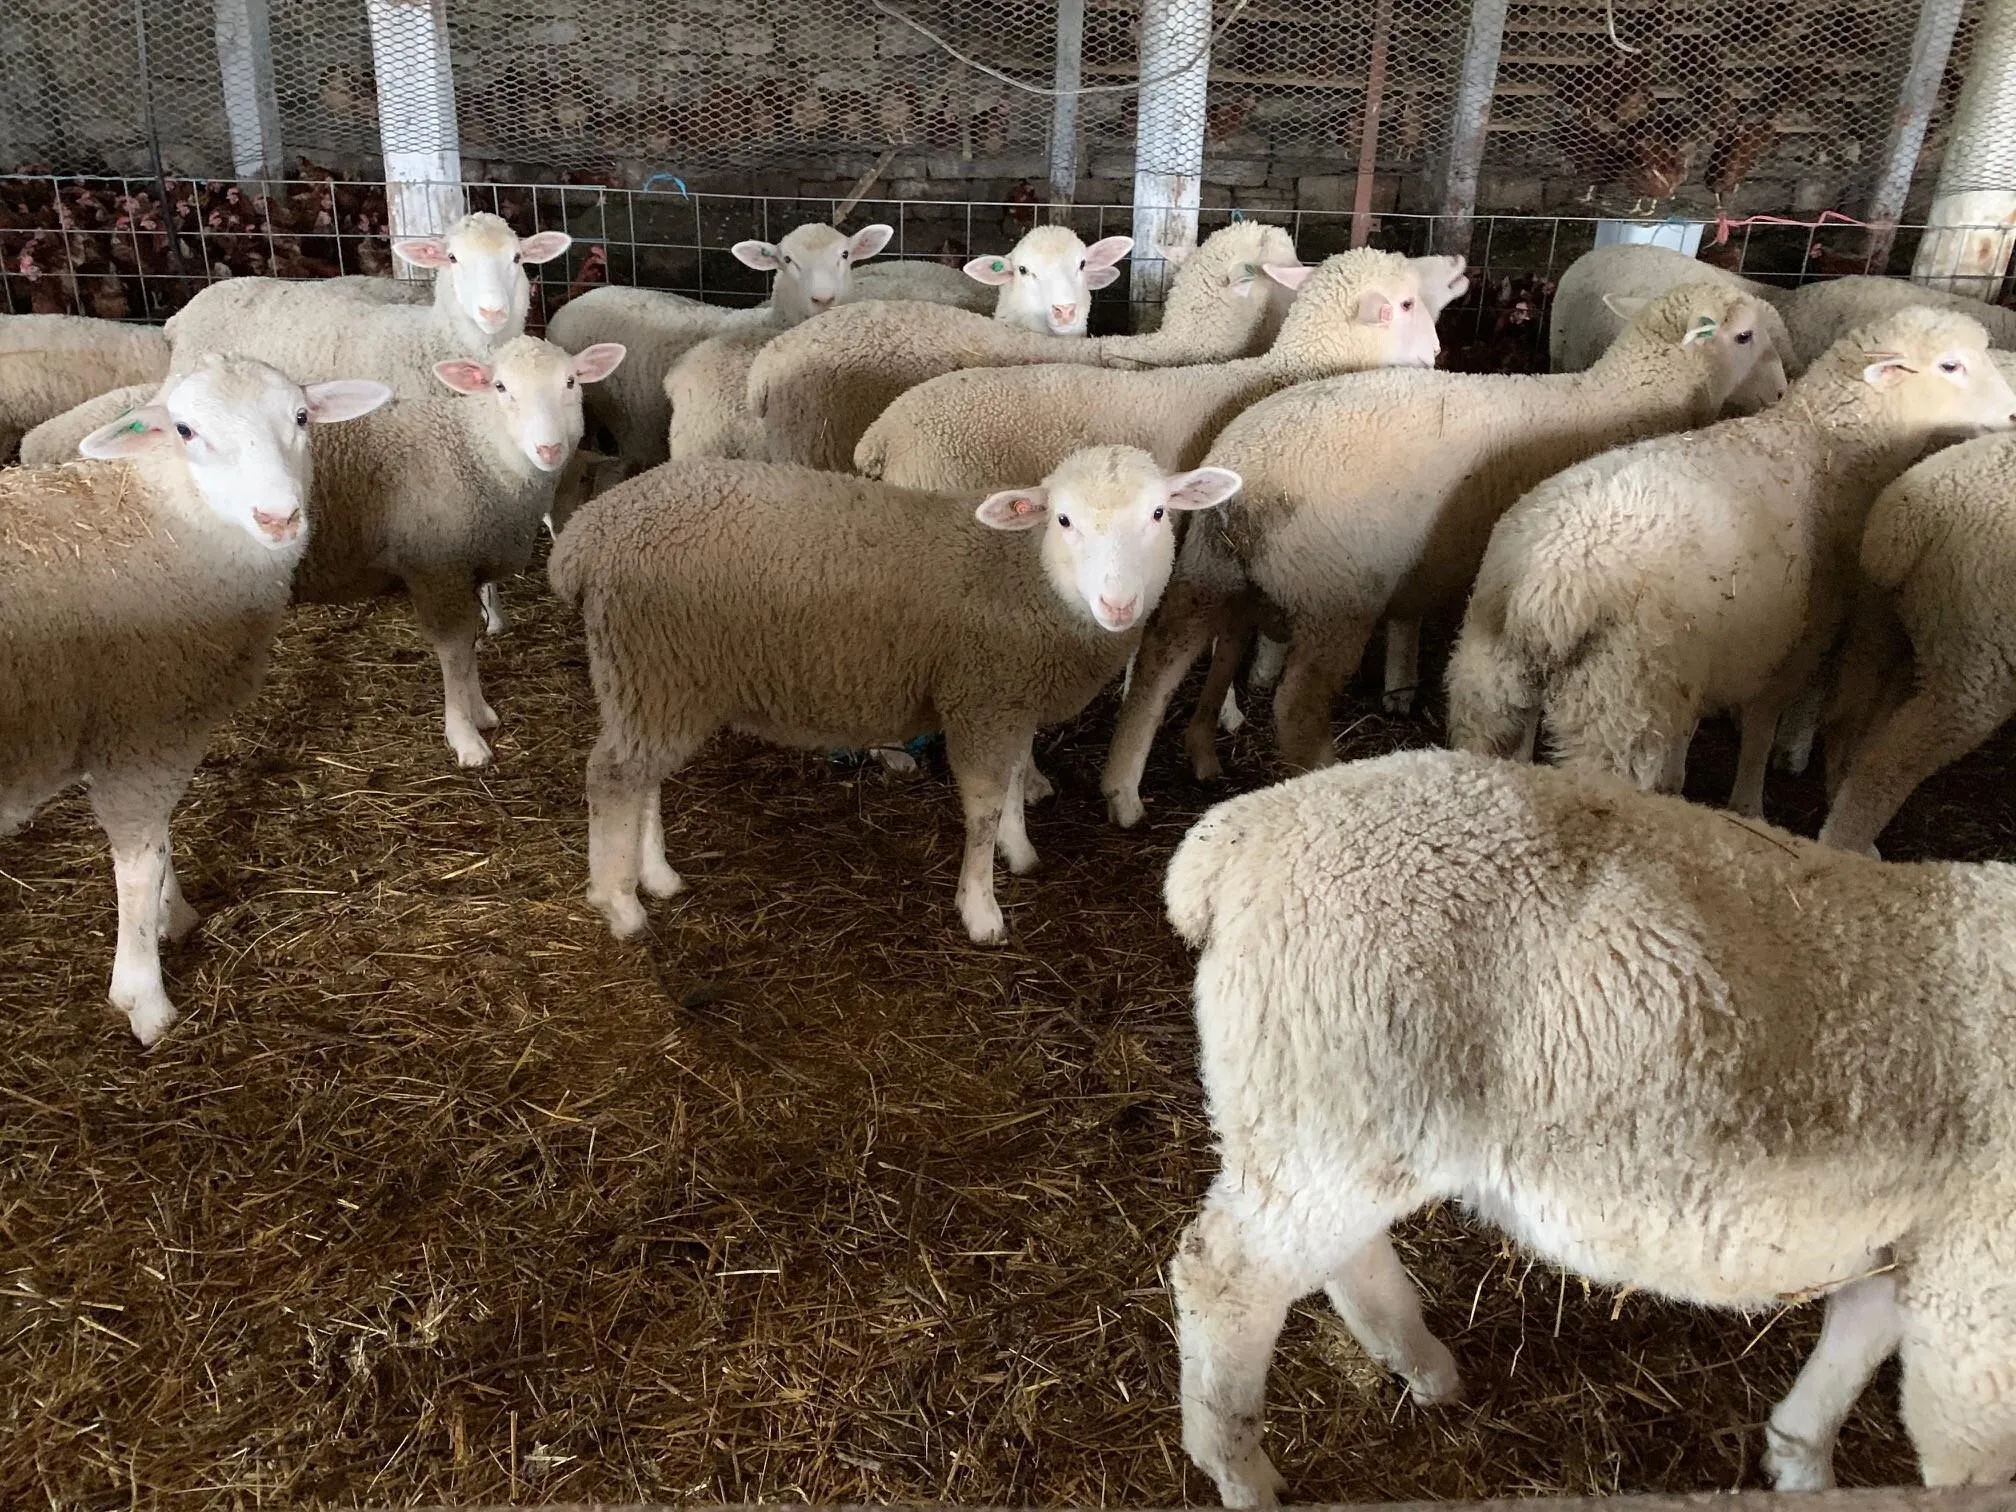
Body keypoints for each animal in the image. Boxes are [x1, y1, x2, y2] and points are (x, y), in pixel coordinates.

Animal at [0, 357, 390, 1045]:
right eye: (184, 430)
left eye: (301, 416)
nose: (278, 517)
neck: (158, 519)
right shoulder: (143, 732)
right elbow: (139, 862)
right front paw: (144, 999)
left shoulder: (151, 731)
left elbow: (161, 841)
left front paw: (172, 916)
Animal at [297, 336, 625, 767]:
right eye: (500, 387)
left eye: (570, 381)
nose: (550, 449)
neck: (473, 450)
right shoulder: (438, 569)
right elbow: (453, 654)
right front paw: (465, 737)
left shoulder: (465, 569)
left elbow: (469, 647)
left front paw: (481, 712)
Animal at [548, 446, 1241, 946]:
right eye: (1063, 520)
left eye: (1158, 514)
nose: (1119, 605)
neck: (1028, 574)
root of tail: (584, 534)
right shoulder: (982, 699)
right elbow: (983, 806)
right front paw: (981, 909)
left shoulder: (1009, 697)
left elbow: (1017, 777)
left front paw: (1019, 850)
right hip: (651, 666)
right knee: (613, 777)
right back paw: (620, 904)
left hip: (657, 680)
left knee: (641, 778)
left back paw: (656, 876)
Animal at [1100, 280, 1787, 827]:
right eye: (1746, 336)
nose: (1780, 393)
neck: (1628, 399)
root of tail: (1249, 468)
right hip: (1337, 590)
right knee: (1295, 706)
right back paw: (1322, 767)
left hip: (1208, 567)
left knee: (1163, 656)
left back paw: (1124, 791)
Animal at [1165, 745, 2016, 1506]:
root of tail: (1239, 835)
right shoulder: (1979, 1331)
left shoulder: (1928, 1258)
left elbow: (1853, 1346)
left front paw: (1801, 1465)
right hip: (1336, 1097)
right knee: (1225, 1278)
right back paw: (1241, 1473)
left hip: (1333, 1118)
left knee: (1337, 1255)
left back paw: (1422, 1366)